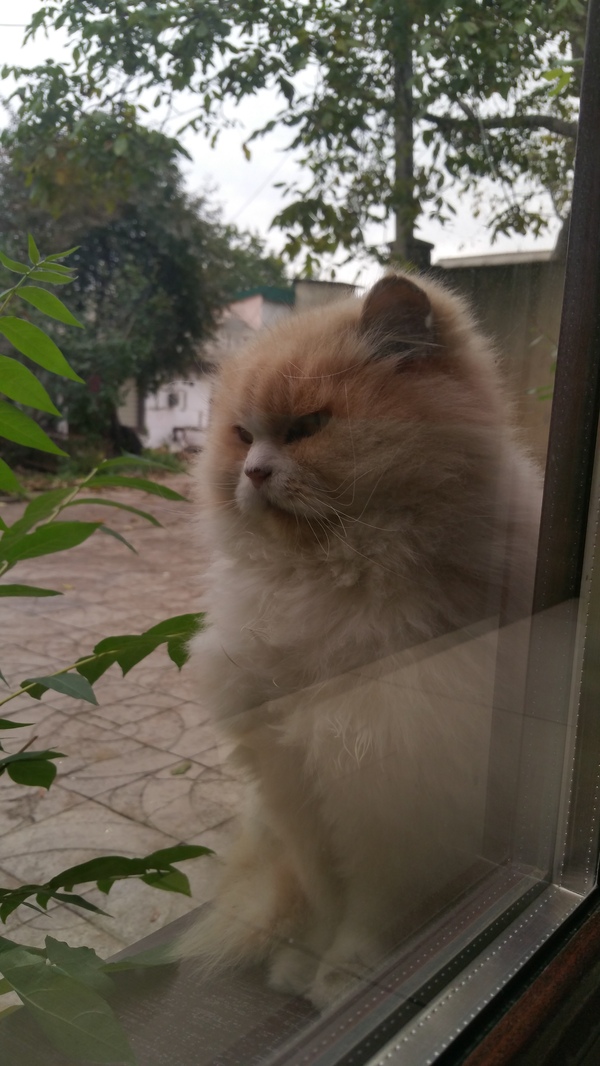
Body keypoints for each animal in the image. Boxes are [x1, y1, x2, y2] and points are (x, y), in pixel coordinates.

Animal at [175, 272, 541, 1006]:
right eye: (242, 436)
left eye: (309, 427)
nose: (253, 473)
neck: (327, 579)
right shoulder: (293, 779)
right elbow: (327, 895)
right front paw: (306, 965)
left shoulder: (391, 781)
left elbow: (370, 905)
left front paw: (343, 977)